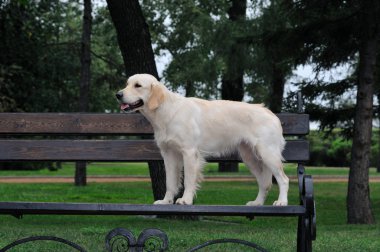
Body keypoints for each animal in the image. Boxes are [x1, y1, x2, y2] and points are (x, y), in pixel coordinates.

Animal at [116, 73, 288, 207]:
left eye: (138, 85)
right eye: (127, 84)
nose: (118, 94)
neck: (167, 111)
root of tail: (270, 113)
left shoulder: (189, 152)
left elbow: (188, 181)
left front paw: (185, 200)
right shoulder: (168, 154)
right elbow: (170, 182)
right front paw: (166, 201)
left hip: (268, 153)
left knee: (283, 179)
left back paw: (281, 202)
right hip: (249, 157)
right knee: (264, 183)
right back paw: (257, 203)